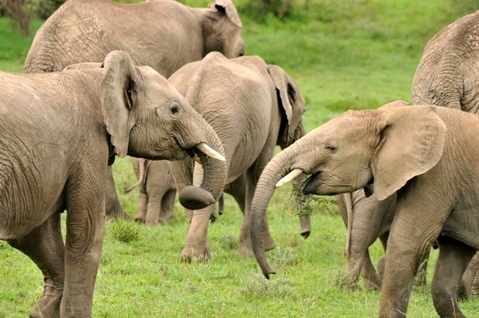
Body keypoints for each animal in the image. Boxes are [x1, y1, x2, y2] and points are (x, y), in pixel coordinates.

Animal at [0, 51, 227, 316]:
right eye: (174, 109)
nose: (194, 192)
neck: (97, 77)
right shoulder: (88, 147)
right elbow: (86, 232)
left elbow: (34, 235)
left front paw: (42, 311)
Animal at [167, 51, 306, 260]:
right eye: (304, 111)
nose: (305, 234)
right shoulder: (271, 119)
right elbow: (258, 173)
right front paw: (250, 254)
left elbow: (240, 184)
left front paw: (265, 248)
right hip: (225, 121)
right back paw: (197, 257)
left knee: (186, 182)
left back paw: (193, 257)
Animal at [249, 100, 479, 318]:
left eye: (331, 147)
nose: (271, 273)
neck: (388, 115)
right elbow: (446, 258)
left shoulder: (437, 177)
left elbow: (408, 243)